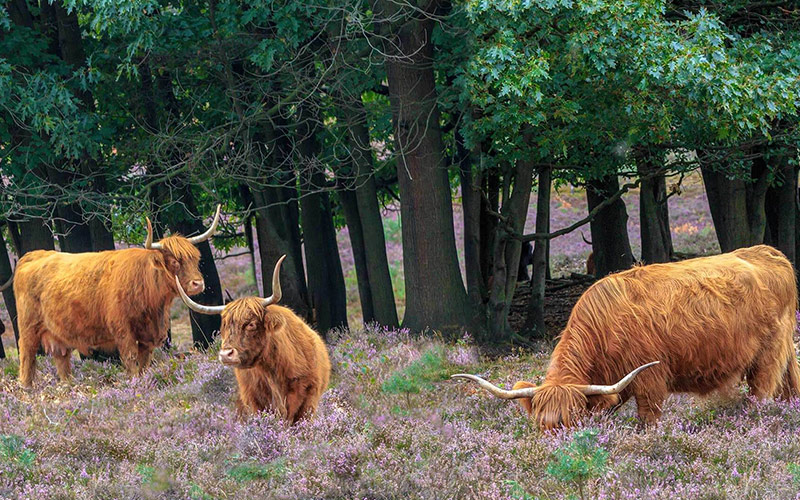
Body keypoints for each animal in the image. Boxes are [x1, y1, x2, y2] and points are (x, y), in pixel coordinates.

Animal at [14, 204, 222, 386]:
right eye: (174, 262)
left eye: (195, 258)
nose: (198, 284)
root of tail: (33, 255)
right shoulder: (123, 331)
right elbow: (131, 362)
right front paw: (135, 385)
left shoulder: (147, 338)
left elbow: (144, 365)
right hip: (28, 329)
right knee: (26, 358)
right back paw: (27, 389)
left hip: (57, 337)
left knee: (62, 362)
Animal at [454, 246, 800, 430]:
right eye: (542, 425)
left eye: (572, 421)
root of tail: (768, 253)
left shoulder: (649, 382)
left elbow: (647, 421)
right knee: (789, 386)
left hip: (767, 357)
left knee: (761, 393)